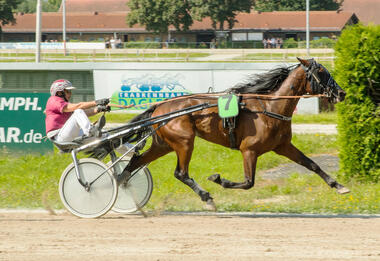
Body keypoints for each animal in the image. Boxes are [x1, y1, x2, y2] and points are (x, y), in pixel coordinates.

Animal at [122, 58, 350, 209]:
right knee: (181, 173)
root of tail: (159, 106)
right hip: (184, 142)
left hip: (163, 144)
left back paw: (122, 184)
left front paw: (339, 186)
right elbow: (249, 182)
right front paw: (217, 179)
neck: (270, 108)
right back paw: (207, 197)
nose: (341, 93)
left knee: (136, 162)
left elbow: (312, 164)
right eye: (321, 71)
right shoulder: (249, 150)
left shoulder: (283, 146)